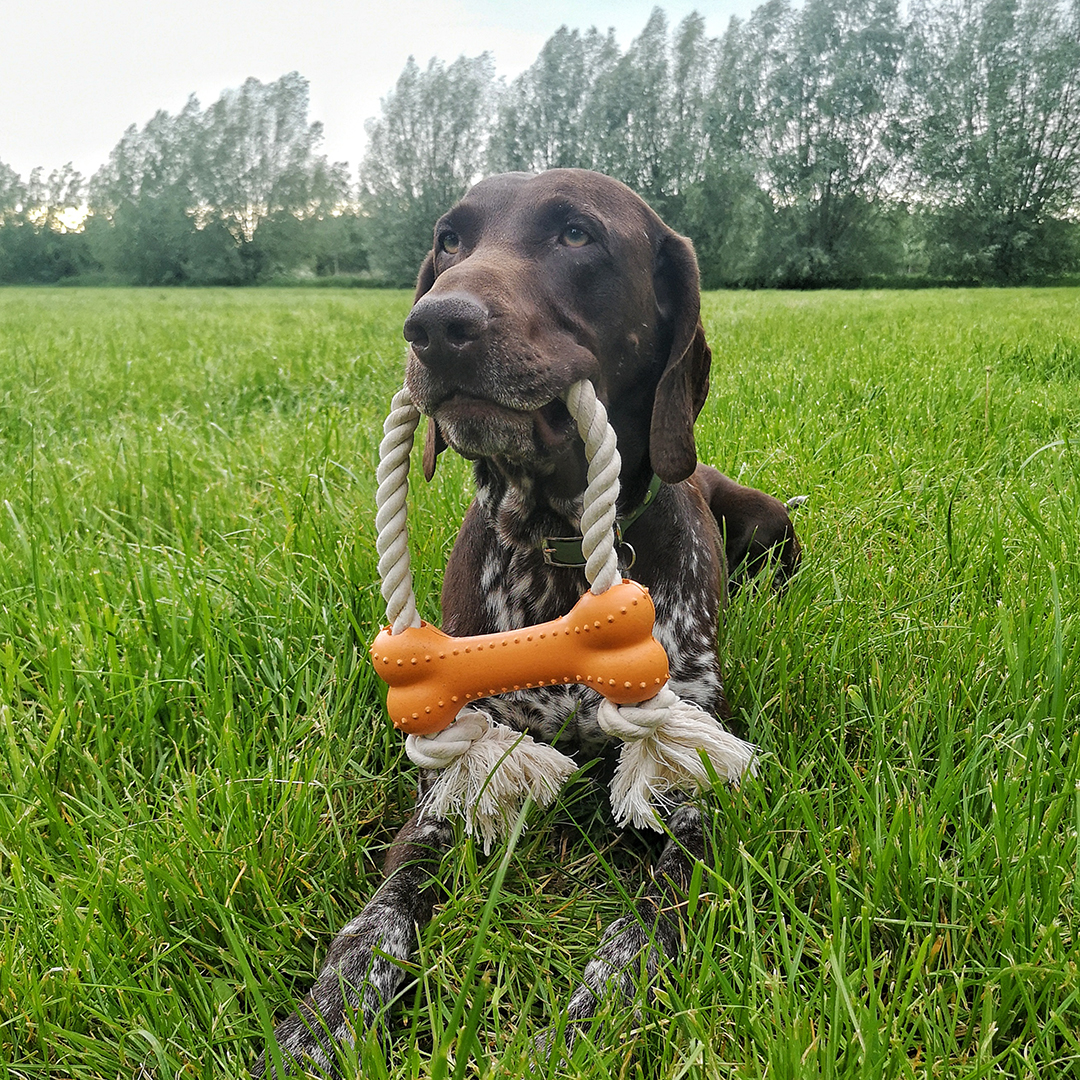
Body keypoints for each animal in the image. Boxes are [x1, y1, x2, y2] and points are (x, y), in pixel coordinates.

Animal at [254, 168, 803, 1071]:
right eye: (449, 241)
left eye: (577, 234)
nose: (435, 325)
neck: (556, 549)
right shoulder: (454, 777)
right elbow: (376, 921)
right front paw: (320, 1025)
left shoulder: (693, 792)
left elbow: (640, 934)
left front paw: (578, 1033)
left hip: (769, 521)